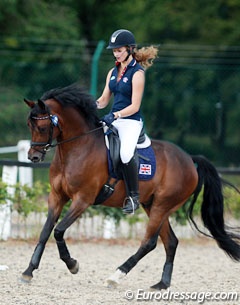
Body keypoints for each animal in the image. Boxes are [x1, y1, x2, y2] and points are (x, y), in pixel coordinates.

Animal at [22, 83, 240, 288]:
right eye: (29, 125)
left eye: (42, 127)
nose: (33, 157)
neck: (77, 148)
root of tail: (189, 159)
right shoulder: (57, 197)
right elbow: (45, 231)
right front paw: (28, 271)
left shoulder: (82, 200)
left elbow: (58, 230)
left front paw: (72, 264)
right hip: (152, 205)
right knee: (171, 242)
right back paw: (161, 284)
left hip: (163, 206)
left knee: (149, 242)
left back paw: (115, 276)